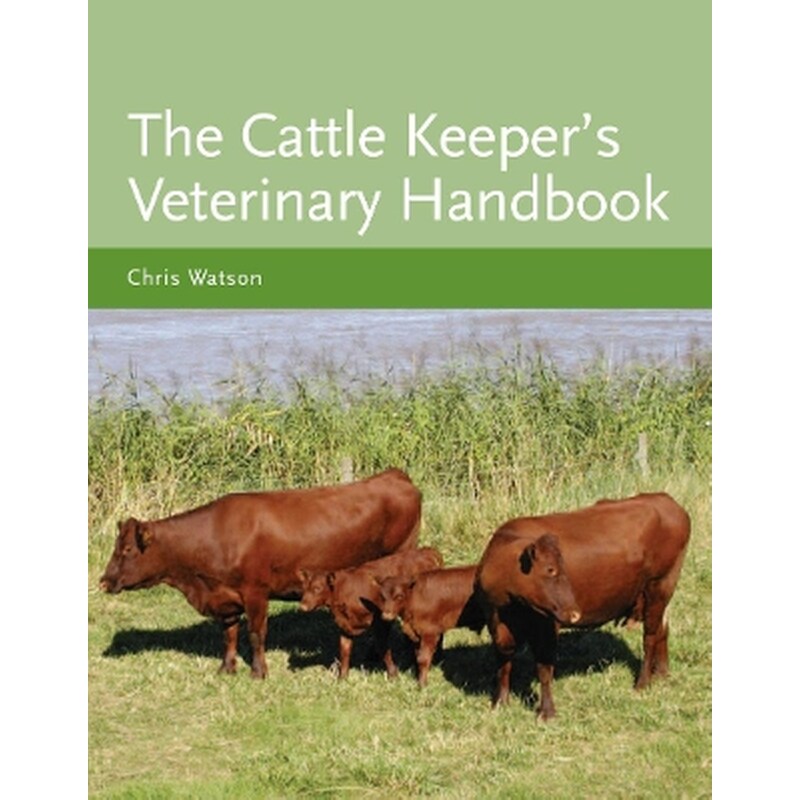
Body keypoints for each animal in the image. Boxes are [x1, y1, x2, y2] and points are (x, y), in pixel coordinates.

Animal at [99, 468, 422, 678]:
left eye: (127, 550)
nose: (103, 581)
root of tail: (394, 475)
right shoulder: (226, 596)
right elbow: (229, 633)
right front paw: (227, 668)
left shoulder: (255, 592)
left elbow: (256, 634)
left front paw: (258, 671)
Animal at [298, 546, 443, 678]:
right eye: (304, 588)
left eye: (317, 588)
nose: (303, 606)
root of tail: (426, 551)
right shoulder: (344, 625)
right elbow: (344, 650)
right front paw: (342, 677)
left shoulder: (380, 621)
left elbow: (382, 647)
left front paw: (393, 675)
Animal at [475, 492, 691, 720]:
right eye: (550, 570)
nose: (574, 614)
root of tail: (665, 499)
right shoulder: (496, 625)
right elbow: (503, 664)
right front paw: (500, 703)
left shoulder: (547, 626)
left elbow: (544, 669)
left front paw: (547, 712)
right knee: (662, 629)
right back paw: (662, 673)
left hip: (660, 584)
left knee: (650, 636)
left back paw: (642, 682)